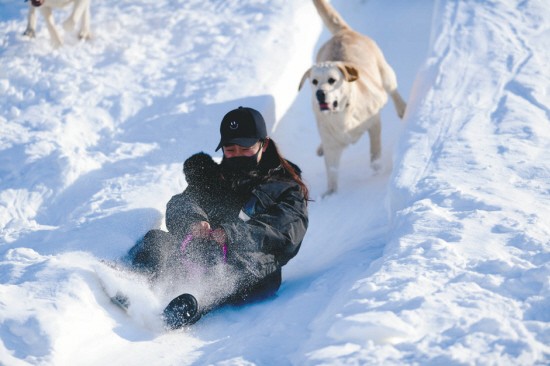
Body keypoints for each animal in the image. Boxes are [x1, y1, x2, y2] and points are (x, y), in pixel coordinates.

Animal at [300, 0, 408, 197]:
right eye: (314, 81)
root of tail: (343, 32)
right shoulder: (331, 145)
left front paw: (376, 171)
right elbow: (332, 171)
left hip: (386, 74)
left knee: (393, 91)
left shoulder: (374, 123)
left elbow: (375, 153)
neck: (342, 115)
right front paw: (330, 193)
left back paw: (403, 109)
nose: (320, 93)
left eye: (332, 80)